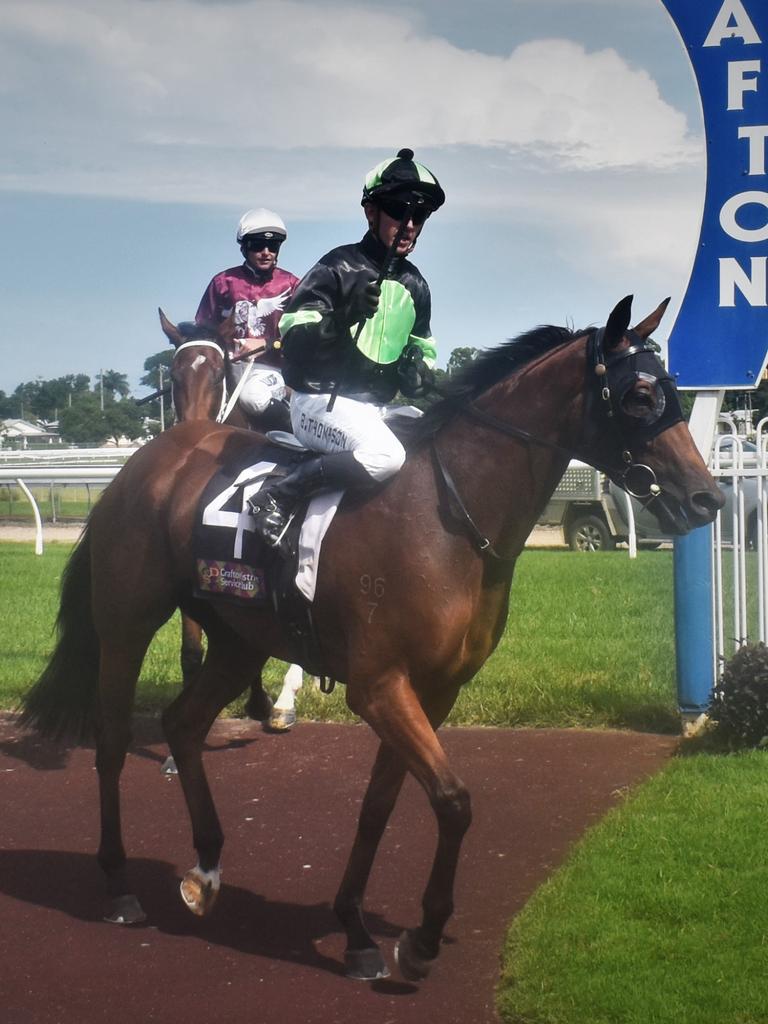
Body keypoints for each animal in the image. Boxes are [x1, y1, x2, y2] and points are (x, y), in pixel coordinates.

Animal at [20, 299, 724, 983]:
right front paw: (422, 938)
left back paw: (207, 870)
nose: (707, 497)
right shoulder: (381, 685)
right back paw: (118, 884)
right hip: (127, 623)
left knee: (183, 723)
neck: (448, 516)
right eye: (638, 395)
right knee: (113, 742)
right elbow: (453, 800)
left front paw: (360, 931)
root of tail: (151, 456)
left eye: (672, 387)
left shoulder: (434, 690)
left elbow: (380, 804)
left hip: (240, 640)